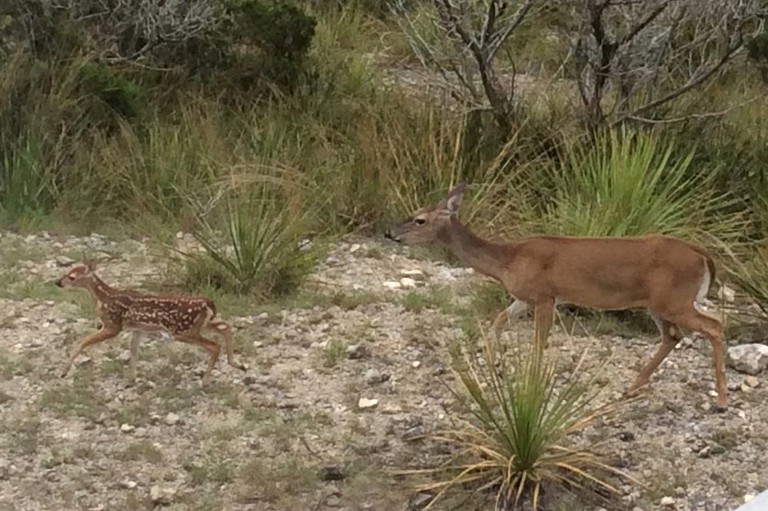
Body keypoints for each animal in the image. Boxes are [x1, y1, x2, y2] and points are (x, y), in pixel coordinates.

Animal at [55, 262, 244, 386]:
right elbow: (134, 350)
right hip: (199, 325)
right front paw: (131, 380)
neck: (104, 298)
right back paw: (237, 364)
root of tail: (209, 303)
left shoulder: (113, 325)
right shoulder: (138, 329)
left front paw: (64, 371)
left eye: (72, 277)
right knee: (226, 326)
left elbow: (83, 341)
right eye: (66, 271)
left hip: (183, 331)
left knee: (215, 345)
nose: (57, 282)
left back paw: (205, 381)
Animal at [388, 182, 728, 410]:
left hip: (674, 300)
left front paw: (532, 384)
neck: (508, 260)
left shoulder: (545, 296)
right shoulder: (523, 297)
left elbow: (539, 343)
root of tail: (702, 254)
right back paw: (632, 387)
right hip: (659, 304)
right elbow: (498, 320)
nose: (389, 233)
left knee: (714, 326)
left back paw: (722, 399)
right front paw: (496, 365)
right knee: (674, 336)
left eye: (419, 219)